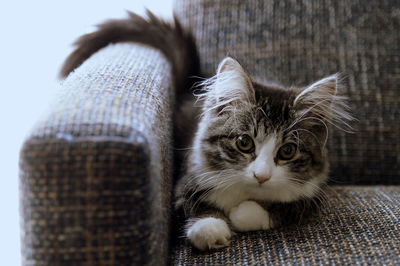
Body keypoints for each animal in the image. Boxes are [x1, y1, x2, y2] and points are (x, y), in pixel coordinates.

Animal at [61, 10, 352, 251]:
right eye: (244, 143)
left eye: (288, 151)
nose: (261, 176)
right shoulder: (186, 177)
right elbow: (194, 205)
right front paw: (210, 229)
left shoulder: (312, 196)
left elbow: (282, 208)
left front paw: (242, 213)